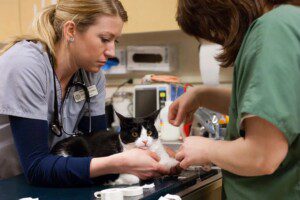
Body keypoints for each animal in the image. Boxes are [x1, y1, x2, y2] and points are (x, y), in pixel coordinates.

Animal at [50, 110, 178, 185]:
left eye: (150, 132)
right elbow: (133, 178)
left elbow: (170, 162)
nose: (145, 141)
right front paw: (116, 181)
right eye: (134, 134)